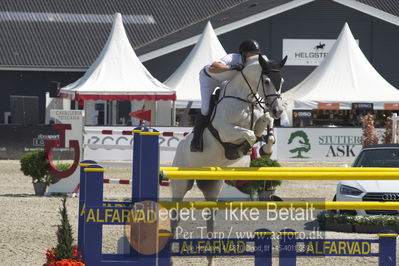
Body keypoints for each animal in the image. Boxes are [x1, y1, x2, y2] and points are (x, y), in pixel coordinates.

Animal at [170, 53, 286, 264]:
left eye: (281, 81)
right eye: (266, 81)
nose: (279, 111)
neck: (246, 100)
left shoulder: (261, 118)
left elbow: (265, 126)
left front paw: (265, 149)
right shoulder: (226, 132)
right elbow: (250, 135)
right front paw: (243, 149)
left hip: (213, 187)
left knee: (210, 218)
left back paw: (210, 258)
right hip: (181, 185)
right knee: (175, 216)